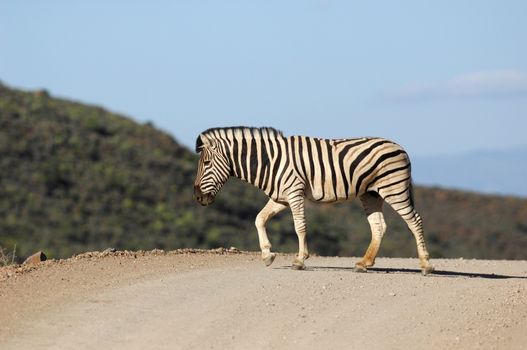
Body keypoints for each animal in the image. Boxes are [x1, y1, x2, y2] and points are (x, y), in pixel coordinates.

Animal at [192, 127, 436, 274]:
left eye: (206, 164)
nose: (197, 197)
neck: (270, 161)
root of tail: (400, 147)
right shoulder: (280, 197)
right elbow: (259, 219)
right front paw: (268, 255)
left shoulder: (294, 192)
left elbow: (300, 226)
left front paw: (300, 260)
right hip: (371, 193)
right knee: (379, 226)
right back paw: (364, 263)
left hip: (394, 188)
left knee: (415, 221)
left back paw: (426, 265)